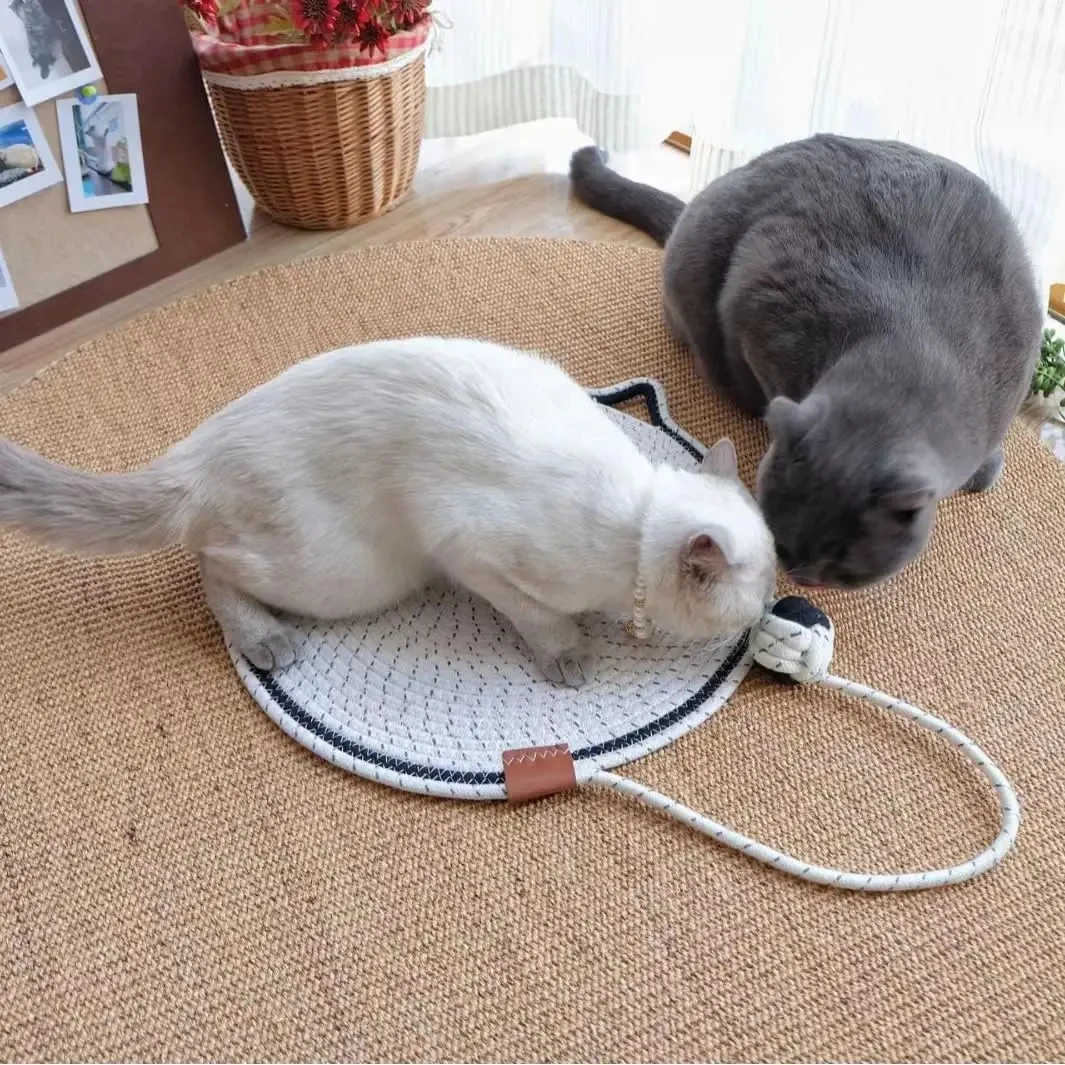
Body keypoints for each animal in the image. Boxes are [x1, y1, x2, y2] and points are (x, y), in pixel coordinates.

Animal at [0, 340, 775, 690]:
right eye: (763, 588)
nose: (772, 608)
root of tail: (192, 452)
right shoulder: (470, 550)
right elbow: (541, 618)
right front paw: (569, 653)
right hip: (353, 572)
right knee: (209, 566)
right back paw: (266, 639)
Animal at [570, 136, 1043, 587]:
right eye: (781, 543)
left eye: (844, 564)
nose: (802, 577)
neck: (916, 352)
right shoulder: (756, 293)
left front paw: (986, 469)